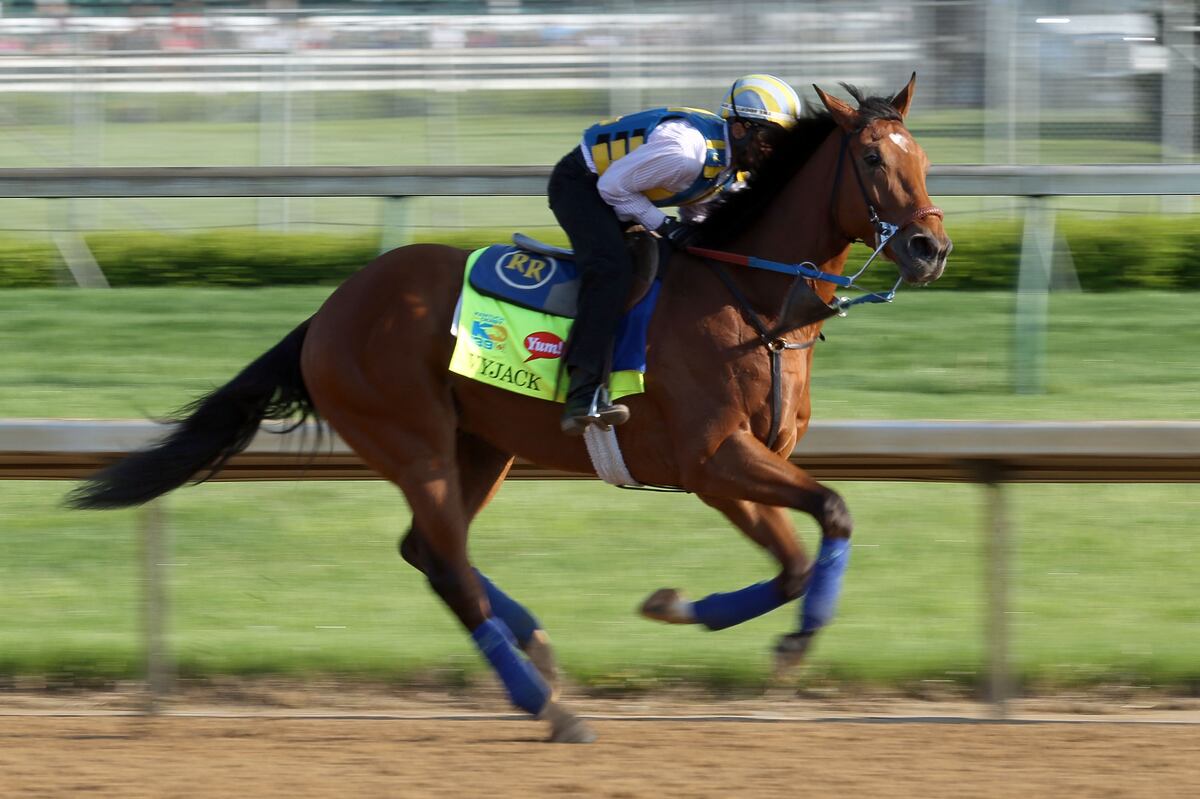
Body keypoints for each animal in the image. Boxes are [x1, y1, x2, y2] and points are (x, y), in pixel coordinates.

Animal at [69, 74, 951, 743]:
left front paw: (688, 610)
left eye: (925, 157)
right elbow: (830, 514)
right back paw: (545, 704)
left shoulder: (729, 467)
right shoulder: (715, 457)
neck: (750, 297)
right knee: (447, 562)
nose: (931, 248)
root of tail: (326, 313)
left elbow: (796, 556)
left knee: (430, 550)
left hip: (482, 446)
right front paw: (787, 635)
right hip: (415, 442)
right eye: (872, 157)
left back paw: (537, 650)